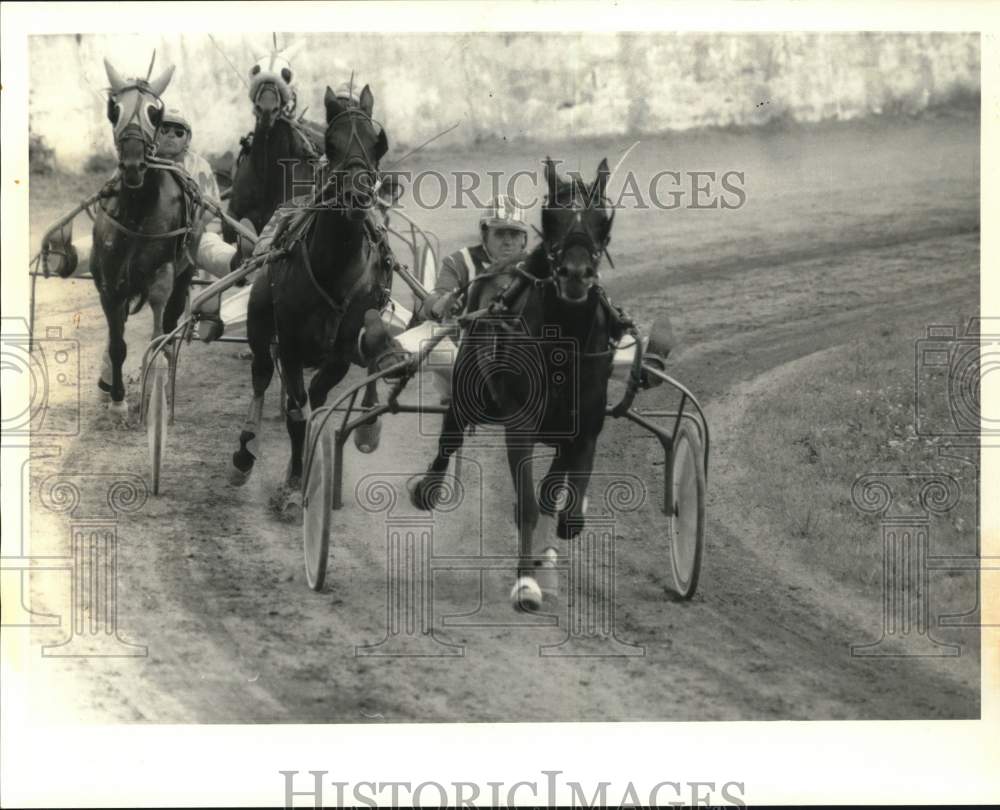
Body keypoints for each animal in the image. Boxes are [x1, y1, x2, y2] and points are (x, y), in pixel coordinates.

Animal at [93, 57, 196, 414]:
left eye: (154, 112)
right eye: (114, 109)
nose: (134, 165)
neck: (136, 216)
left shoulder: (162, 275)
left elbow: (158, 336)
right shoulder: (109, 283)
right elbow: (117, 343)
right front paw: (117, 399)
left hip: (183, 276)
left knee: (170, 325)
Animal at [232, 83, 392, 498]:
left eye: (378, 143)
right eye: (330, 146)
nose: (357, 196)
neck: (333, 268)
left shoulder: (340, 353)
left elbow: (314, 407)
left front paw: (301, 473)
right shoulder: (289, 345)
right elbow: (295, 413)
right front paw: (291, 482)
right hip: (260, 323)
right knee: (260, 373)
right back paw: (244, 452)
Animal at [410, 158, 620, 608]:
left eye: (602, 219)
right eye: (552, 217)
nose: (575, 275)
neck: (564, 343)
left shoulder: (587, 425)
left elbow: (567, 507)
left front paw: (550, 547)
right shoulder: (519, 426)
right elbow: (526, 503)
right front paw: (526, 581)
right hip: (467, 389)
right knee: (449, 436)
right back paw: (428, 487)